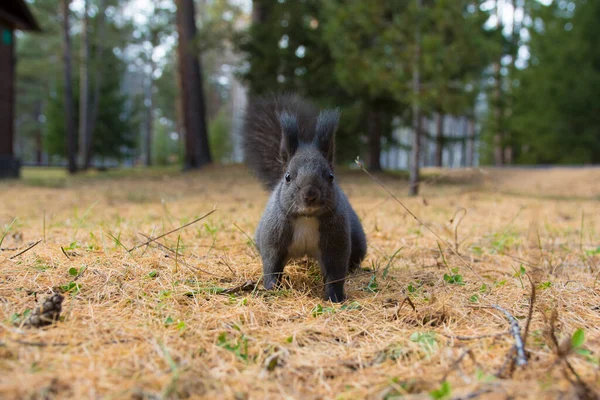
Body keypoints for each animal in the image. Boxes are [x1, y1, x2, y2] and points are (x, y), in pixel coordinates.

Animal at [243, 93, 366, 300]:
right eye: (287, 177)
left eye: (331, 177)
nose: (310, 195)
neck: (307, 218)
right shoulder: (273, 239)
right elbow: (271, 266)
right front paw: (271, 289)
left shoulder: (336, 244)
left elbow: (335, 274)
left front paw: (334, 297)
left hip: (357, 242)